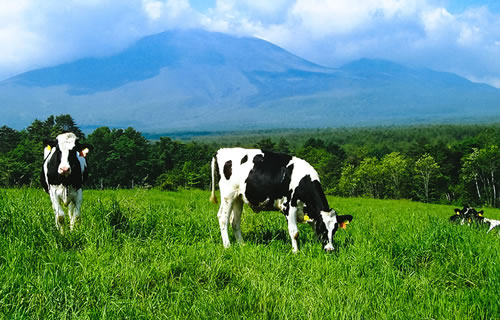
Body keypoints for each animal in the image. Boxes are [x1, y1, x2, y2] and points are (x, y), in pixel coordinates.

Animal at [209, 148, 354, 252]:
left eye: (334, 229)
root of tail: (221, 151)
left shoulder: (312, 213)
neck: (304, 181)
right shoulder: (289, 207)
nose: (330, 249)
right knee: (223, 218)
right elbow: (294, 232)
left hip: (238, 197)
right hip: (228, 195)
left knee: (235, 221)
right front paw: (296, 252)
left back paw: (242, 244)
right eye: (322, 228)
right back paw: (227, 246)